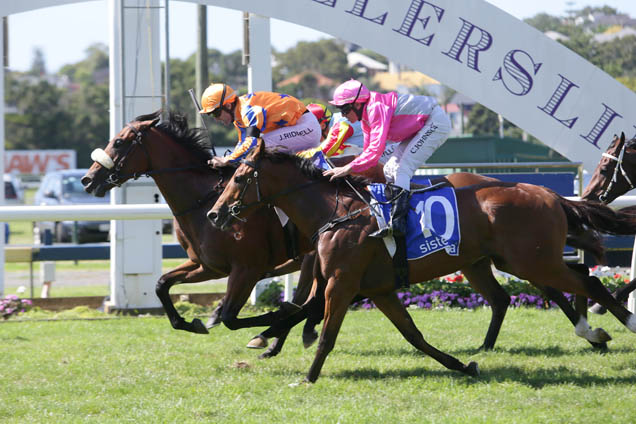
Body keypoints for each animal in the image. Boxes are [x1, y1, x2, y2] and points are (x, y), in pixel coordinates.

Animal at [210, 141, 636, 382]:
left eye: (241, 178)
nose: (215, 215)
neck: (336, 212)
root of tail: (550, 194)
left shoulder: (342, 283)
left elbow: (327, 332)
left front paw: (307, 376)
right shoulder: (378, 289)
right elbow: (414, 335)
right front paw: (464, 366)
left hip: (531, 261)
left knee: (587, 281)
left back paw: (614, 324)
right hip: (513, 260)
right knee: (570, 278)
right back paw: (593, 330)